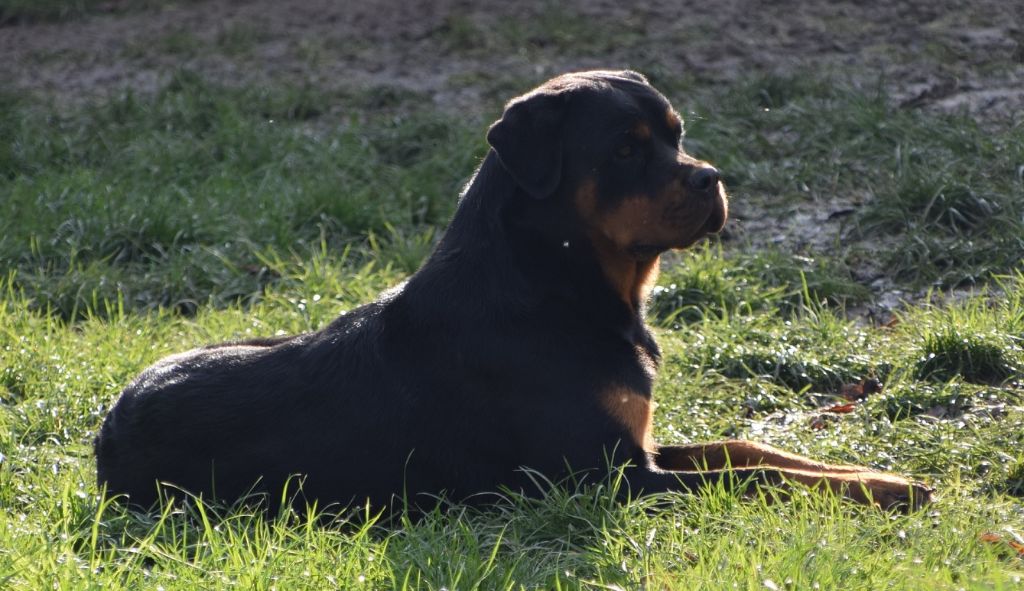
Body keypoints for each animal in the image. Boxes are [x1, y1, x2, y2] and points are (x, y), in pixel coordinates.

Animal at [92, 69, 933, 512]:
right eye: (625, 151)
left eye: (677, 133)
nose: (713, 178)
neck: (561, 282)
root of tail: (102, 435)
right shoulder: (611, 475)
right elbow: (753, 474)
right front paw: (879, 486)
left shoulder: (640, 443)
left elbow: (746, 447)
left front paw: (883, 479)